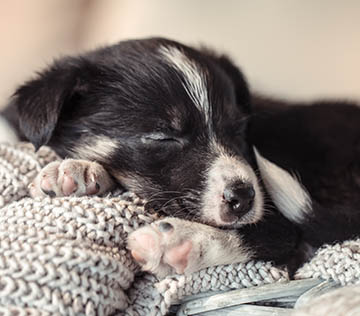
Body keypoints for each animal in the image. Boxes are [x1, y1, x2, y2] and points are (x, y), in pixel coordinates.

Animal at [2, 38, 360, 278]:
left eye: (238, 129)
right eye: (163, 137)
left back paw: (176, 241)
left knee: (286, 235)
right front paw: (76, 170)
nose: (244, 197)